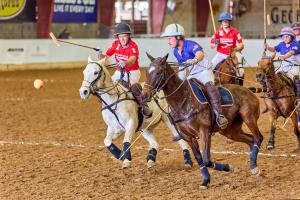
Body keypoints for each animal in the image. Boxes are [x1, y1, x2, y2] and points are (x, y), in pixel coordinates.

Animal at [142, 53, 264, 189]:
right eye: (147, 72)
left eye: (158, 72)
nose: (144, 95)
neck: (183, 101)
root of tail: (249, 90)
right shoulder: (188, 137)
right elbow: (199, 159)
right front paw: (205, 181)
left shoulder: (204, 131)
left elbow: (206, 159)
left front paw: (228, 167)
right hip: (230, 130)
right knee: (251, 140)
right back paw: (252, 164)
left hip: (249, 117)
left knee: (258, 137)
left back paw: (254, 167)